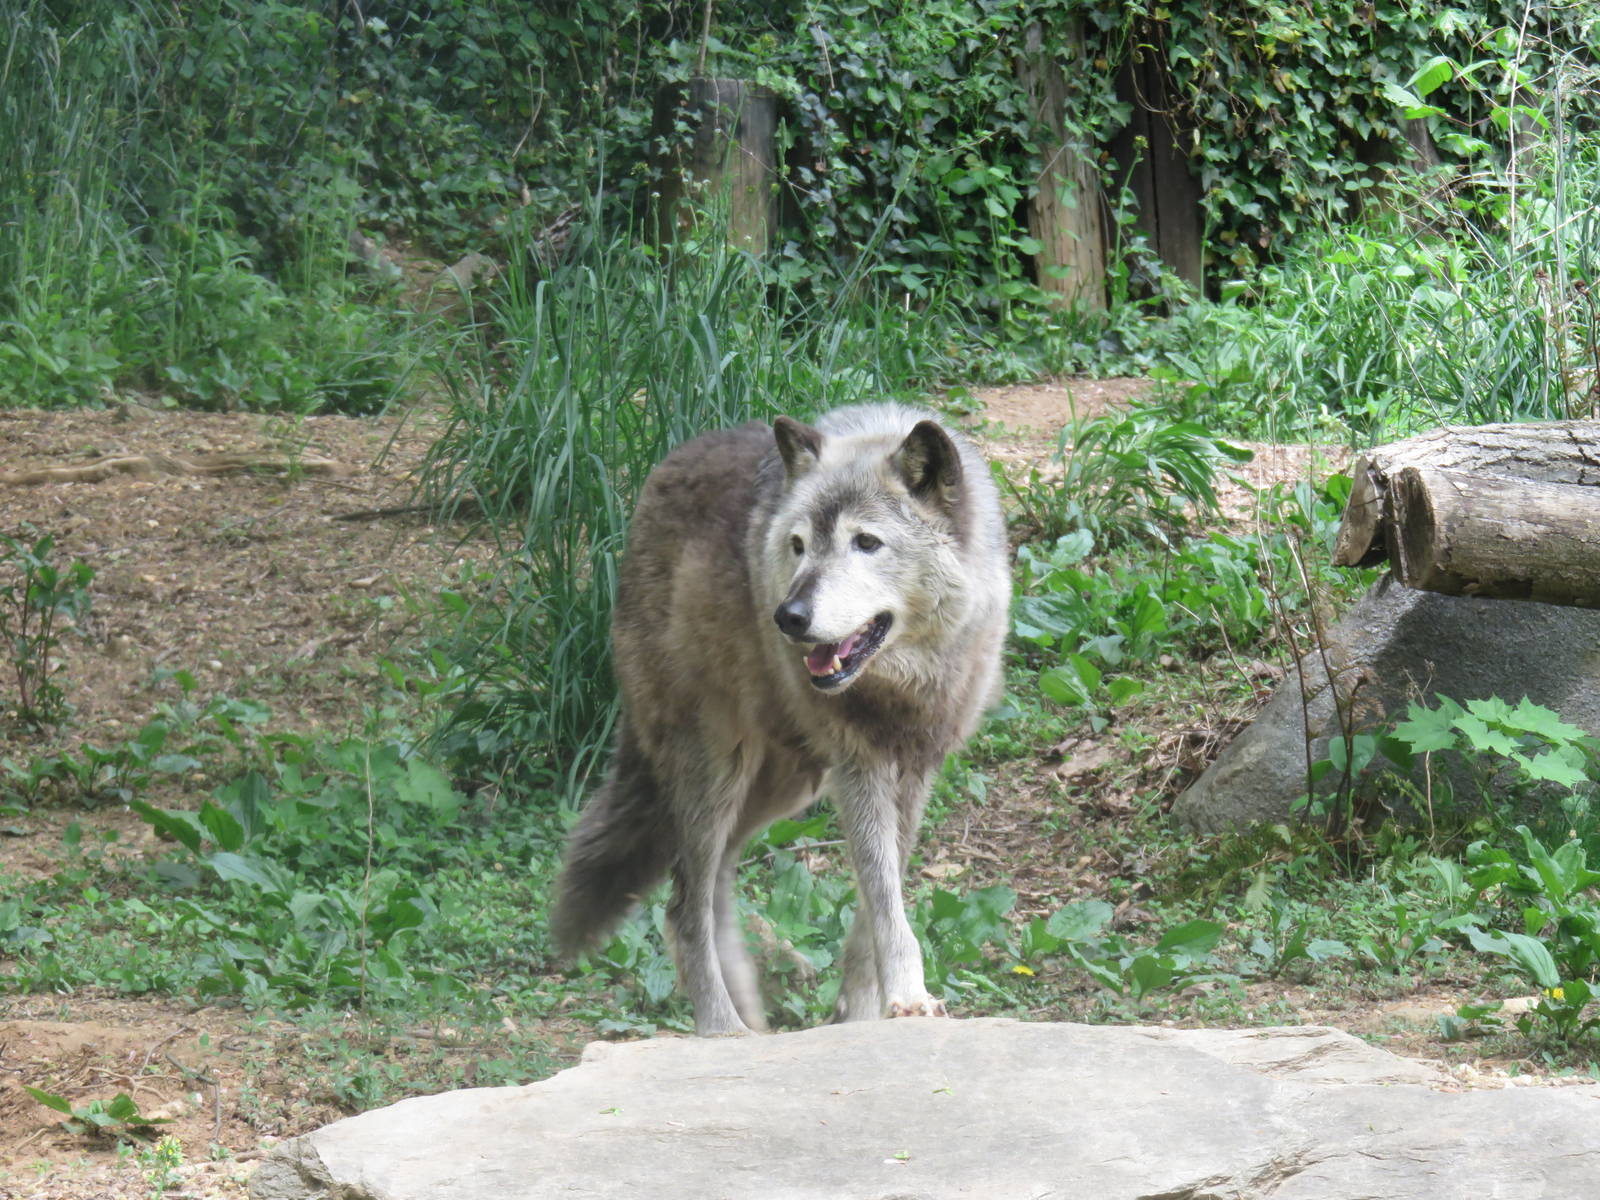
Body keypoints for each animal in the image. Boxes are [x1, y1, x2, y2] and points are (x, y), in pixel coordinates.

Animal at [550, 403, 1010, 1035]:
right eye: (798, 546)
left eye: (866, 542)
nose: (788, 616)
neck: (902, 682)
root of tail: (661, 471)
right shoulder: (860, 765)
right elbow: (884, 897)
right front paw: (907, 996)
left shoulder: (915, 769)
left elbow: (876, 900)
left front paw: (861, 1013)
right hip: (715, 769)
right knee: (683, 906)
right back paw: (723, 1030)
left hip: (780, 787)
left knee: (713, 888)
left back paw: (753, 1022)